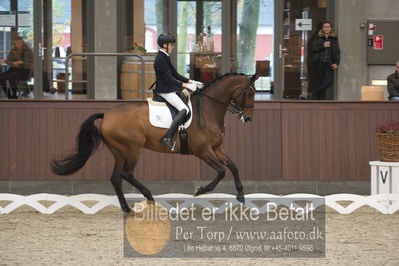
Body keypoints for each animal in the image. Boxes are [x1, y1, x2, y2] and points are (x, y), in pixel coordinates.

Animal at [51, 72, 258, 212]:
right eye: (248, 93)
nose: (248, 118)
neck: (209, 110)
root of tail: (107, 114)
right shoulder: (203, 151)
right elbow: (222, 171)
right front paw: (200, 190)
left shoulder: (216, 148)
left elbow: (233, 166)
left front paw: (241, 196)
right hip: (133, 149)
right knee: (127, 173)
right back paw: (149, 197)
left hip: (119, 151)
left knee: (116, 178)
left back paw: (127, 209)